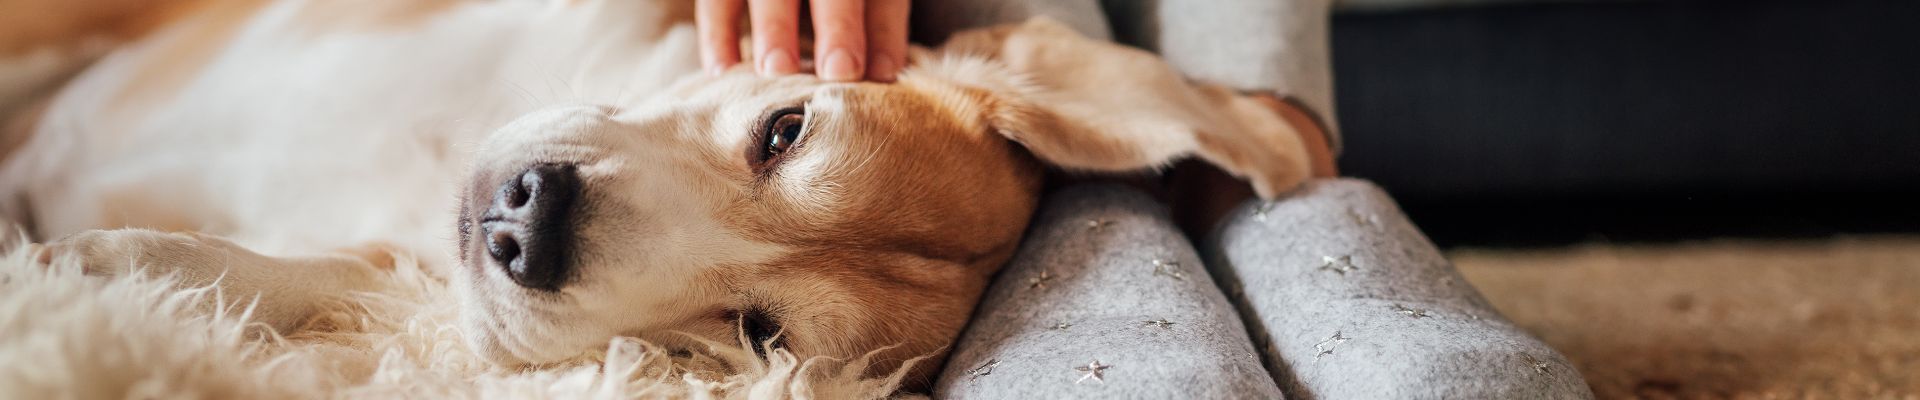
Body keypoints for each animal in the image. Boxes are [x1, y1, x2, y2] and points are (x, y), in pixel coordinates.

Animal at [0, 0, 1313, 386]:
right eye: (785, 130)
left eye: (757, 332)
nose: (530, 221)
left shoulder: (400, 271)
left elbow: (308, 271)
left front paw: (118, 269)